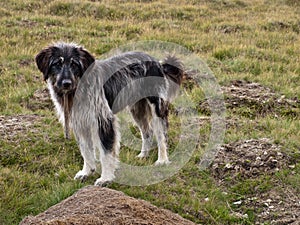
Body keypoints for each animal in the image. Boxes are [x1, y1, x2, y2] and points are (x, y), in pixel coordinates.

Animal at [36, 42, 184, 186]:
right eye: (57, 64)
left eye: (74, 64)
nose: (66, 83)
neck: (77, 89)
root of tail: (157, 63)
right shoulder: (80, 124)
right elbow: (86, 152)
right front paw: (86, 172)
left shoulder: (104, 121)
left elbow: (105, 154)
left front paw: (105, 178)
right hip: (137, 110)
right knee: (147, 132)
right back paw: (143, 155)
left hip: (156, 108)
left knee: (161, 135)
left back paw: (162, 160)